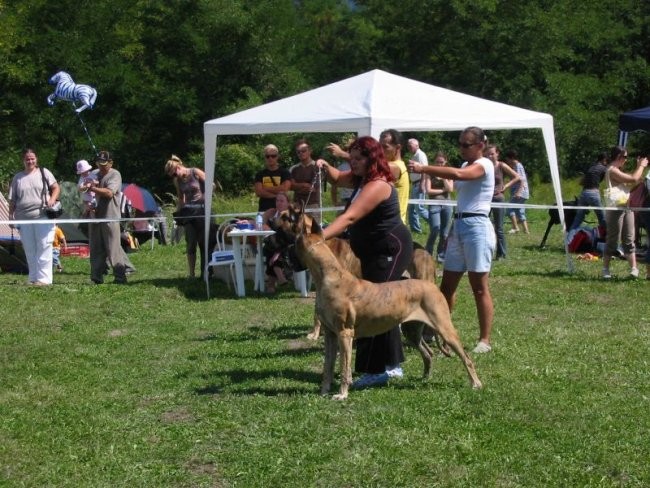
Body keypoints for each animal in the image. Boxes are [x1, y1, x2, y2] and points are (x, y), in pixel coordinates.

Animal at [294, 215, 480, 398]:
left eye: (292, 244)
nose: (288, 259)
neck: (329, 277)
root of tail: (433, 286)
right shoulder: (330, 335)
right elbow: (328, 366)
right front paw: (324, 391)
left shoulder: (344, 334)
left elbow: (344, 368)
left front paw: (342, 394)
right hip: (412, 331)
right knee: (428, 353)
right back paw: (425, 377)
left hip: (444, 328)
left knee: (466, 357)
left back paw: (476, 383)